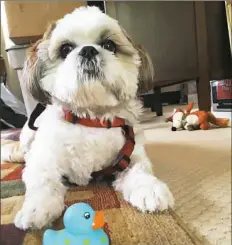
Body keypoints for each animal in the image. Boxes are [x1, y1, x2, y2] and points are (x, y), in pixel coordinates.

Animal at [2, 6, 173, 231]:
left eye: (109, 45)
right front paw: (37, 209)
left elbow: (140, 171)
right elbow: (43, 181)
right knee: (24, 149)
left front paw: (151, 190)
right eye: (65, 49)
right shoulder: (44, 158)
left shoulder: (130, 156)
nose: (88, 50)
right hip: (30, 133)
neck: (90, 119)